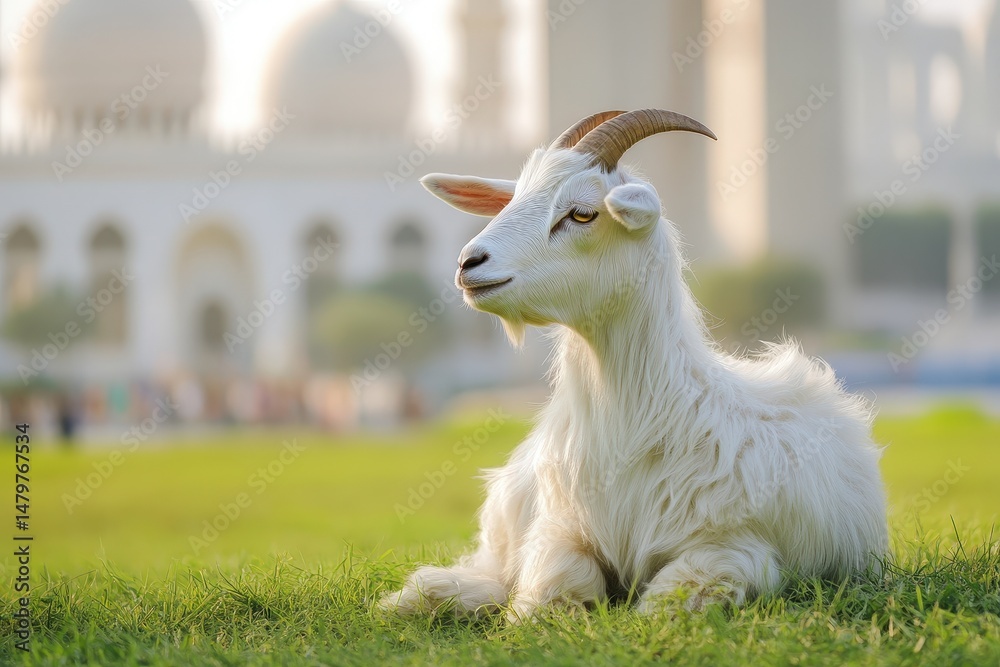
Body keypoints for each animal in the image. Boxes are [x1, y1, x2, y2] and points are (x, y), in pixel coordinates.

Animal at [380, 110, 888, 621]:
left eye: (582, 212)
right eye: (516, 197)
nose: (469, 262)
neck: (641, 427)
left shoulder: (738, 549)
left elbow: (669, 600)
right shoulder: (559, 529)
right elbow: (553, 583)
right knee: (488, 566)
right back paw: (427, 593)